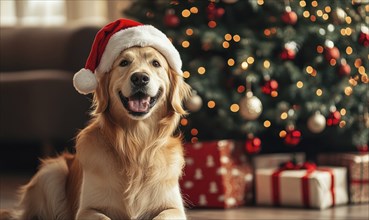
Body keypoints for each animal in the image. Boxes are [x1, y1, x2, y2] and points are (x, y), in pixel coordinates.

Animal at [2, 45, 191, 219]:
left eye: (156, 63)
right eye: (124, 62)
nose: (139, 78)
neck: (135, 145)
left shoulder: (173, 208)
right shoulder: (87, 209)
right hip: (51, 172)